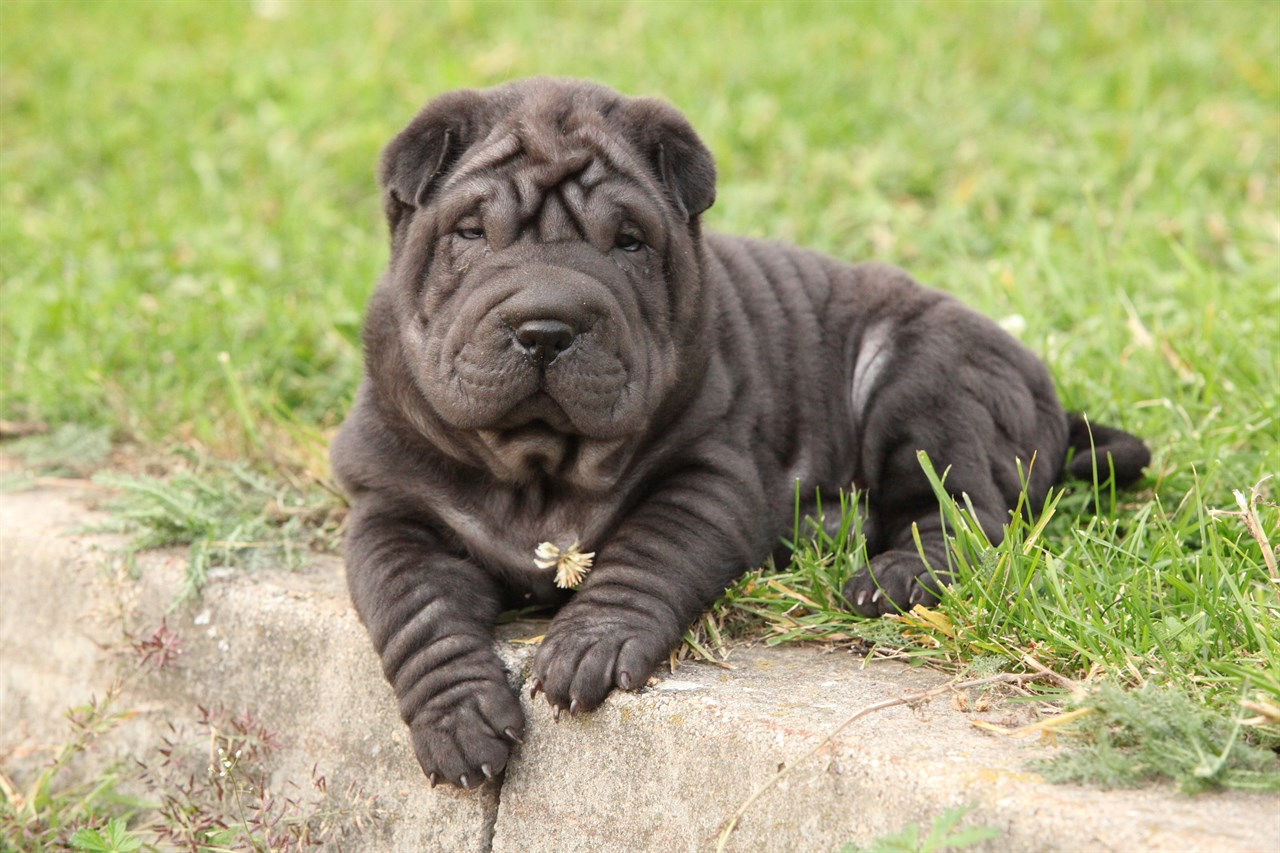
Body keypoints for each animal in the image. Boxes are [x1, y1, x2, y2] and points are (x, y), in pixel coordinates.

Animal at [330, 78, 1152, 783]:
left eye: (628, 242)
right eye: (471, 233)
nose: (546, 325)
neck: (539, 464)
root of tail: (1046, 394)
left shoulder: (707, 474)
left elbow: (648, 553)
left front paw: (590, 640)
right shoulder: (392, 509)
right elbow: (418, 612)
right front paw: (459, 720)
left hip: (928, 386)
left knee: (965, 508)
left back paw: (895, 575)